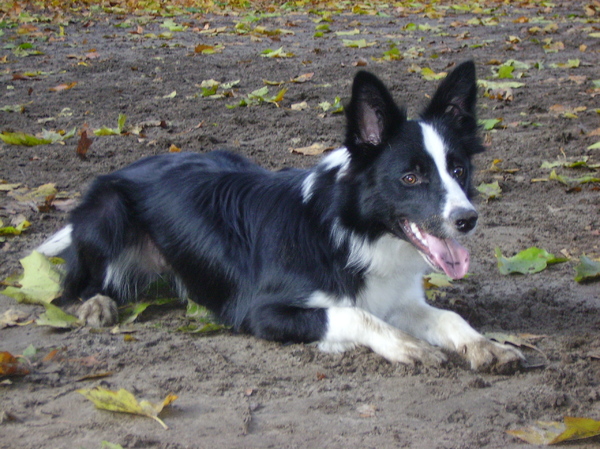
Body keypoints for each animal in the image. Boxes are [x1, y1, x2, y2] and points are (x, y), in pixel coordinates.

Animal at [38, 62, 524, 372]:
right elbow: (354, 315)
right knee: (73, 284)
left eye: (458, 170)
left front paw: (486, 344)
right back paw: (95, 304)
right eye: (410, 177)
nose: (467, 219)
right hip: (109, 211)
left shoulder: (400, 299)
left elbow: (447, 317)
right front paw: (406, 345)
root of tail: (127, 167)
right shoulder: (261, 310)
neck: (349, 234)